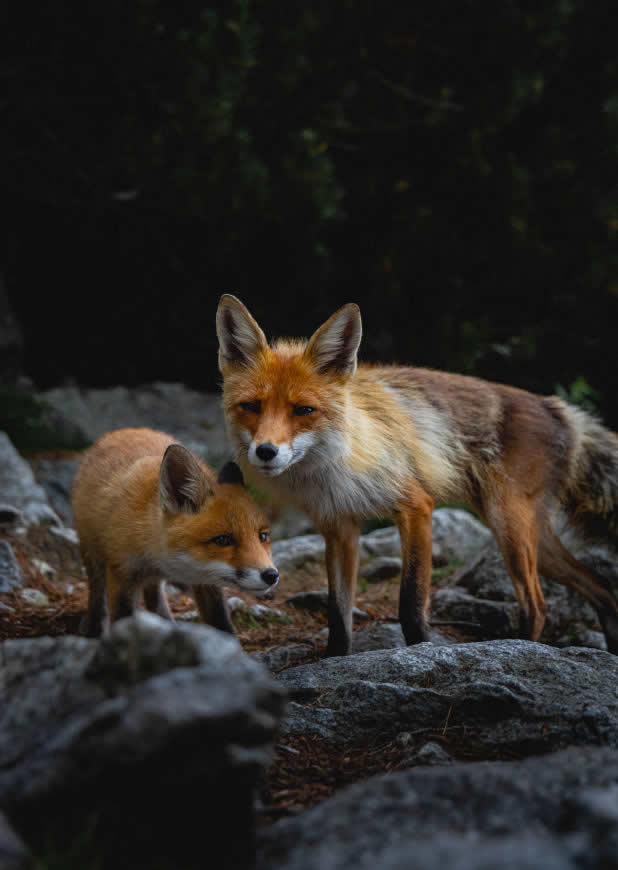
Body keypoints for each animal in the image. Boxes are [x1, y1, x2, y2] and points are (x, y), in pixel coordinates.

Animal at [70, 430, 280, 640]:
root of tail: (119, 432)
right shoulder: (121, 572)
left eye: (263, 536)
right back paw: (94, 626)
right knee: (97, 593)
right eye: (223, 540)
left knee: (154, 598)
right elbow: (122, 619)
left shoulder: (207, 582)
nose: (271, 575)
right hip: (93, 555)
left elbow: (221, 622)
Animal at [215, 296, 616, 656]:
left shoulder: (417, 507)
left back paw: (522, 648)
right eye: (251, 406)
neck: (333, 466)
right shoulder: (339, 526)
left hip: (510, 529)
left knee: (537, 605)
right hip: (533, 539)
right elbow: (338, 613)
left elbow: (410, 602)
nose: (266, 451)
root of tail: (556, 407)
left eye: (303, 410)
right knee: (601, 588)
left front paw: (422, 650)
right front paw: (334, 659)